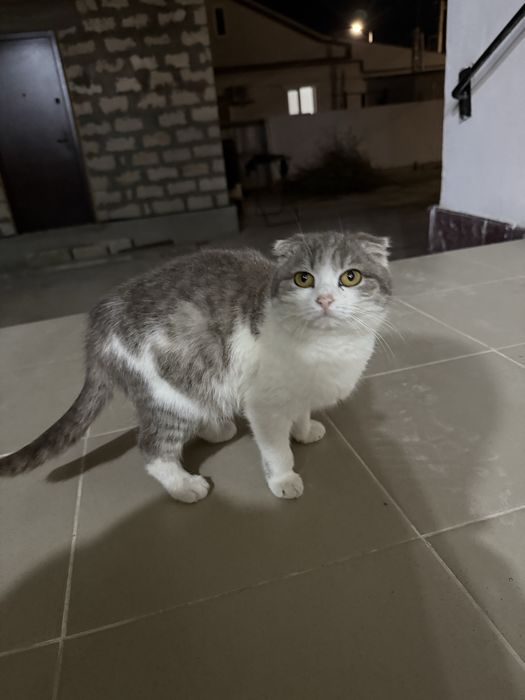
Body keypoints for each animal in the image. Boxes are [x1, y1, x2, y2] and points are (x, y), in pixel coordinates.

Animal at [0, 232, 391, 502]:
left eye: (351, 277)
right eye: (303, 279)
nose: (325, 300)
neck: (325, 349)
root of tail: (99, 321)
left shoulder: (298, 390)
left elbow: (301, 411)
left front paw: (305, 430)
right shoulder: (264, 404)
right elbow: (276, 449)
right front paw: (284, 478)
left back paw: (217, 428)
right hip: (169, 395)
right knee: (153, 449)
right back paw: (184, 486)